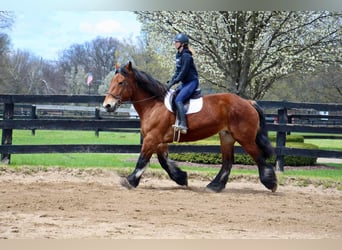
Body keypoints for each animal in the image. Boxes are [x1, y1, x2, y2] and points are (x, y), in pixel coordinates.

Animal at [103, 61, 276, 192]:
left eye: (121, 82)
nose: (107, 105)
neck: (154, 104)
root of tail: (248, 102)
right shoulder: (159, 141)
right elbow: (163, 161)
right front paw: (181, 178)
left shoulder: (152, 139)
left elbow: (142, 160)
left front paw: (130, 181)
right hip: (227, 136)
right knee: (228, 162)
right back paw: (215, 186)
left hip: (245, 138)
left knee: (258, 156)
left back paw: (271, 183)